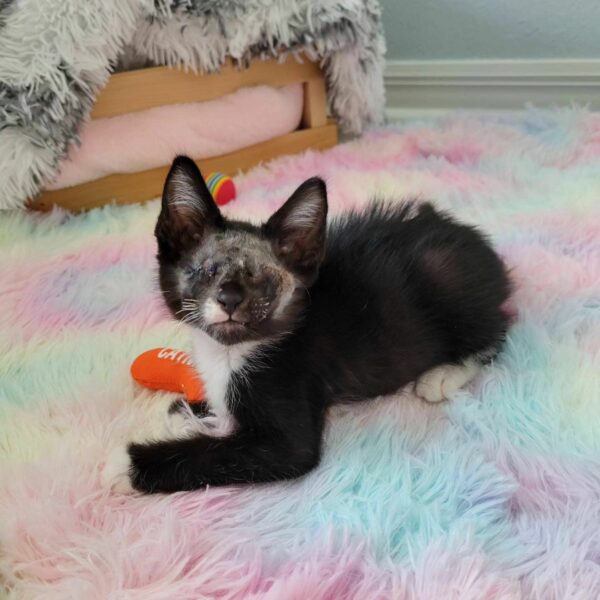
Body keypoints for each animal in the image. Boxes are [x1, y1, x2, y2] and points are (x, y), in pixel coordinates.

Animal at [113, 157, 510, 494]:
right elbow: (219, 417)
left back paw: (442, 375)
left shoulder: (289, 418)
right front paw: (184, 414)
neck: (230, 352)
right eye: (203, 271)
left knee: (499, 328)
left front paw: (121, 466)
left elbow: (219, 453)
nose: (229, 298)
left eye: (262, 279)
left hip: (446, 276)